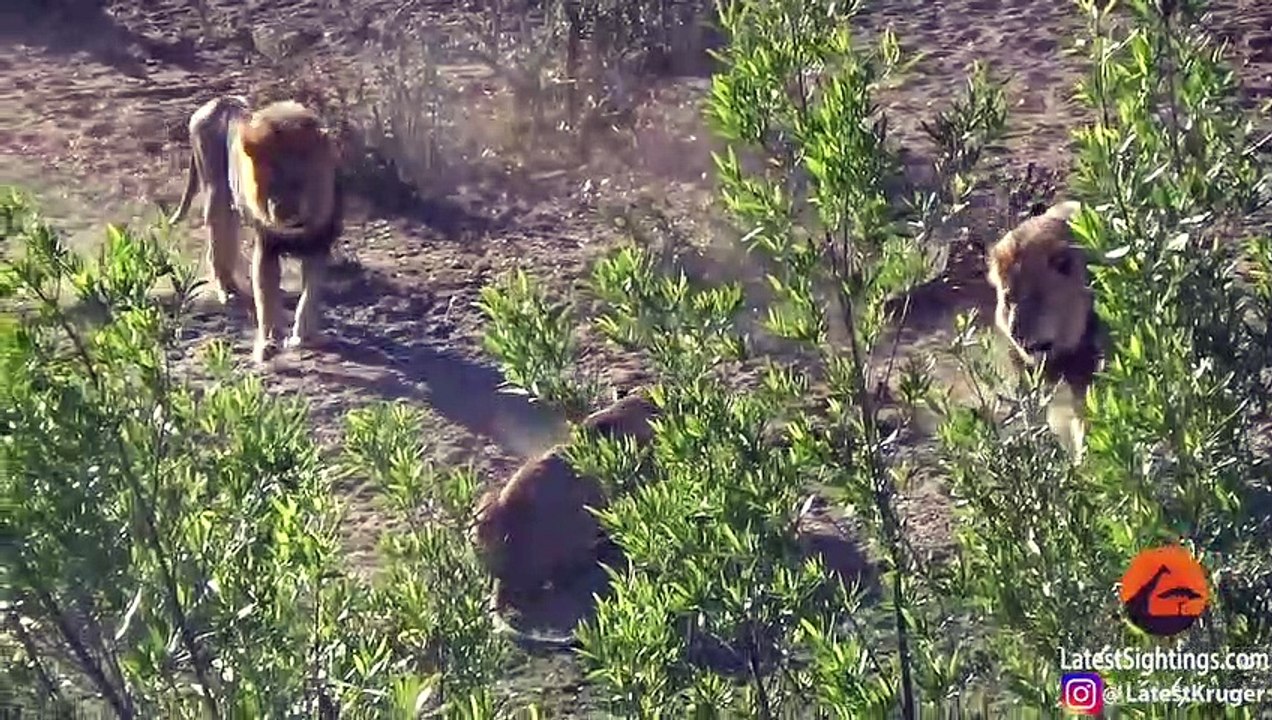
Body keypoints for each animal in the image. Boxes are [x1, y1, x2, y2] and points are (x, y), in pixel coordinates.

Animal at [168, 95, 343, 364]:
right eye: (270, 183)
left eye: (299, 182)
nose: (284, 211)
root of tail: (219, 100)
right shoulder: (267, 248)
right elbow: (266, 298)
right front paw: (268, 343)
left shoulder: (318, 245)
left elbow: (310, 296)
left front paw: (303, 336)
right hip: (217, 193)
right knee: (217, 248)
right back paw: (228, 292)